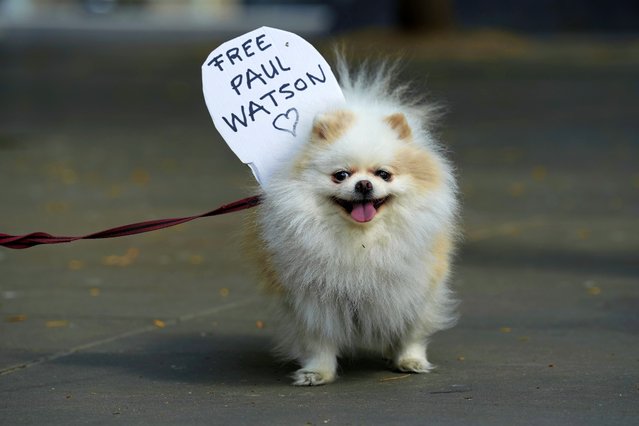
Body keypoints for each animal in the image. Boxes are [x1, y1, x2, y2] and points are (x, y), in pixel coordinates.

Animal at [248, 58, 458, 388]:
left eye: (384, 174)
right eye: (341, 175)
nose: (363, 185)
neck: (361, 240)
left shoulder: (414, 287)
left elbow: (412, 328)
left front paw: (411, 359)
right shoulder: (312, 296)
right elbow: (318, 339)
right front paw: (316, 372)